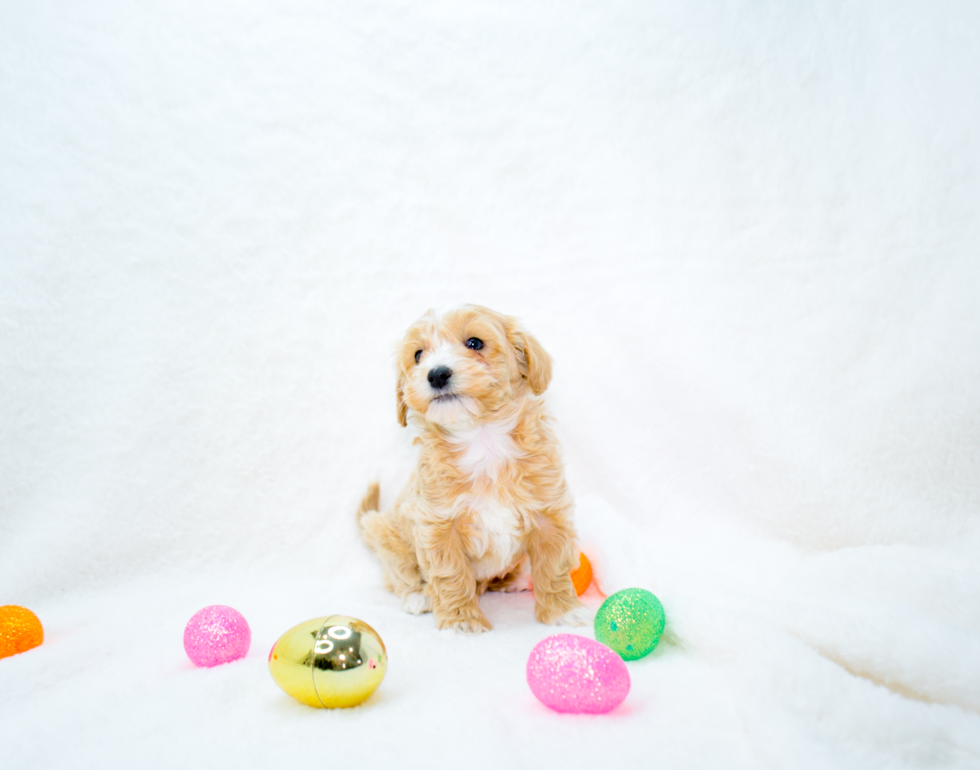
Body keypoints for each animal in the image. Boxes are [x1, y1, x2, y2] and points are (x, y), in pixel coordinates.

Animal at [358, 302, 588, 632]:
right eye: (418, 355)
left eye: (475, 343)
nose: (437, 374)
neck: (482, 439)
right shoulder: (437, 526)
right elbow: (450, 574)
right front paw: (461, 621)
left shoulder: (549, 514)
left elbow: (553, 568)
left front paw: (563, 611)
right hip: (386, 533)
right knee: (400, 574)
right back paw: (418, 596)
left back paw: (511, 580)